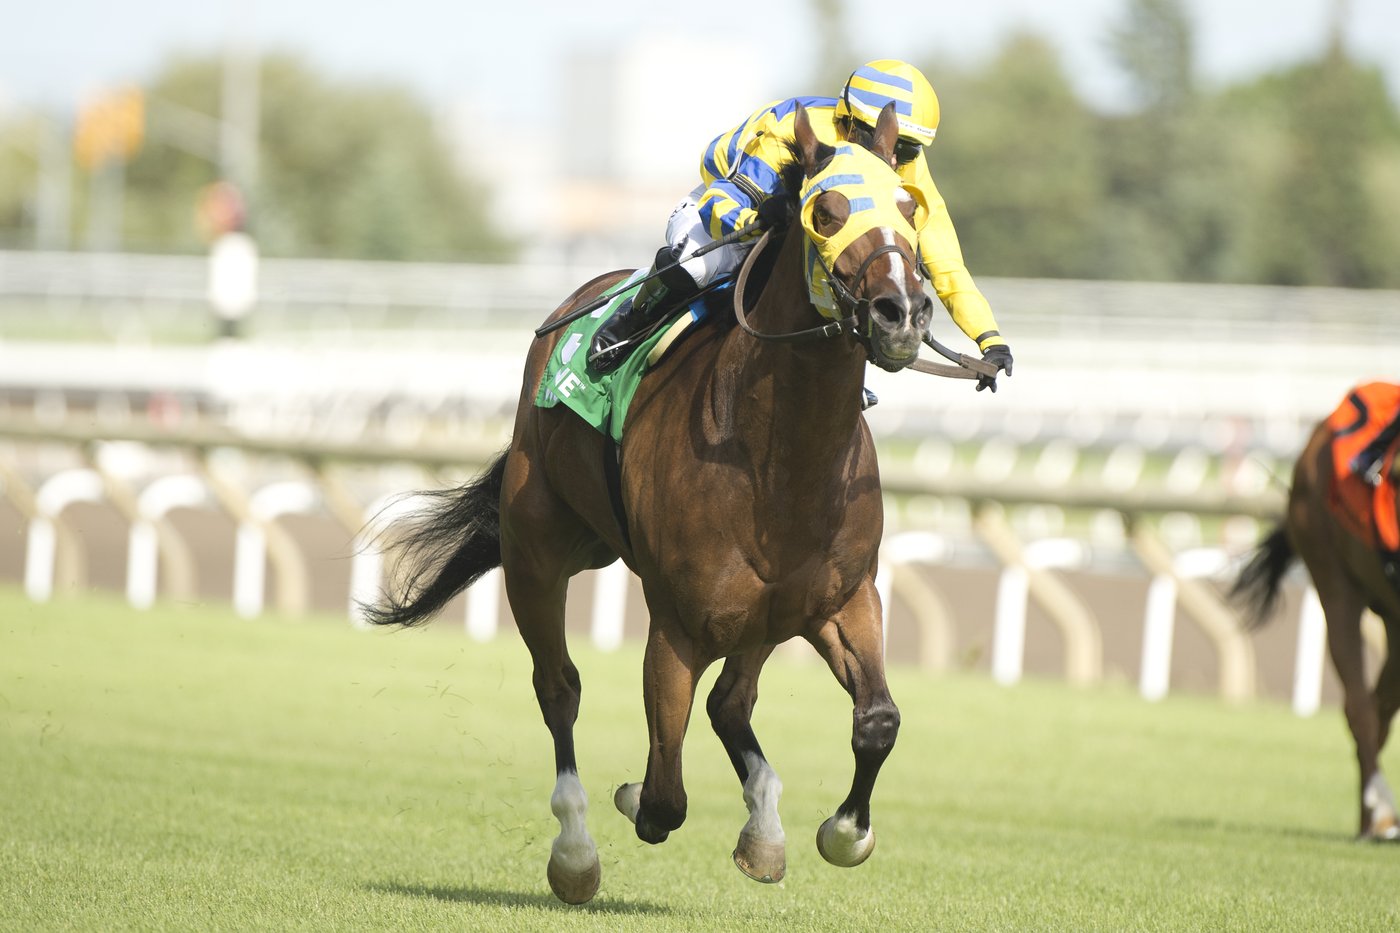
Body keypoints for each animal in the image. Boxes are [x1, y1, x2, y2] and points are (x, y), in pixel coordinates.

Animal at [365, 102, 938, 903]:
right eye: (826, 212)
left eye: (911, 210)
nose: (901, 313)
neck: (779, 461)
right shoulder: (676, 625)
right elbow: (665, 794)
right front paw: (632, 800)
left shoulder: (841, 599)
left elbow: (878, 720)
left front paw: (843, 832)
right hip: (538, 553)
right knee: (560, 689)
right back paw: (576, 850)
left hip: (749, 608)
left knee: (730, 704)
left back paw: (763, 828)